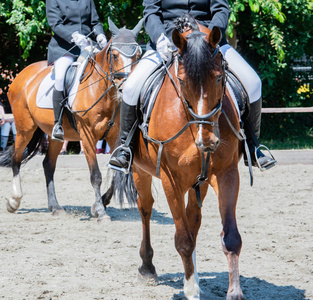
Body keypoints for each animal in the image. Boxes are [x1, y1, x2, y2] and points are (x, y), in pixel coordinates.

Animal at [0, 18, 142, 220]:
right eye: (114, 55)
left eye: (137, 55)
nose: (125, 88)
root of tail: (24, 73)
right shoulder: (88, 136)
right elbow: (95, 175)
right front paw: (100, 211)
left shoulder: (114, 137)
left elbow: (116, 171)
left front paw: (101, 203)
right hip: (24, 128)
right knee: (16, 158)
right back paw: (14, 201)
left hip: (54, 134)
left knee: (48, 165)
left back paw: (55, 207)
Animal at [117, 15, 244, 298]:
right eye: (183, 81)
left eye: (219, 79)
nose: (207, 142)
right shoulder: (170, 179)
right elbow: (183, 239)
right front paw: (191, 290)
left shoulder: (226, 173)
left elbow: (230, 237)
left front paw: (234, 292)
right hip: (140, 172)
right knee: (146, 209)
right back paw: (148, 268)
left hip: (200, 181)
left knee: (192, 219)